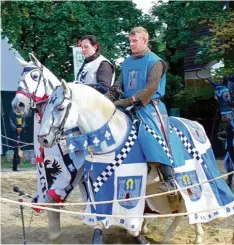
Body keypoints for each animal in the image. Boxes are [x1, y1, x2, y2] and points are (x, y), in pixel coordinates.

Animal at [38, 80, 208, 243]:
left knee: (189, 204)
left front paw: (138, 236)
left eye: (60, 108)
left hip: (188, 176)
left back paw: (192, 235)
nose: (43, 139)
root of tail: (196, 124)